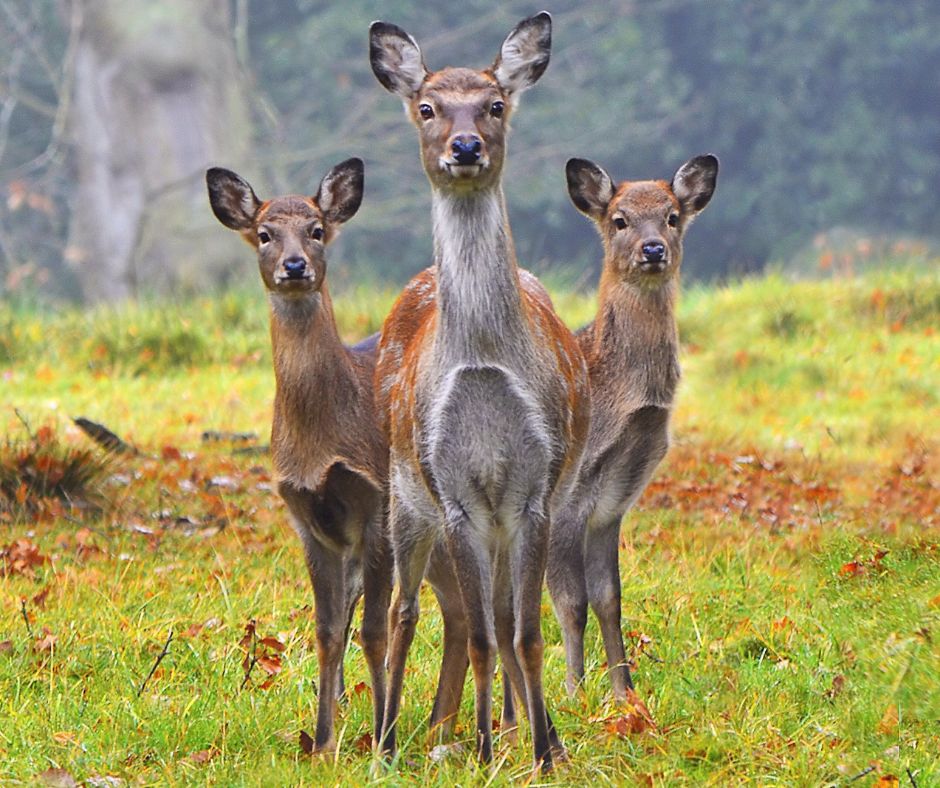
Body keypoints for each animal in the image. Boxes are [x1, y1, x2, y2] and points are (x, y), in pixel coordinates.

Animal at [205, 159, 392, 755]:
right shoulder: (307, 516)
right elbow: (328, 630)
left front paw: (384, 742)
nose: (294, 265)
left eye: (316, 230)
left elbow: (374, 631)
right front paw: (324, 740)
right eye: (264, 233)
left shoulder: (380, 500)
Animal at [369, 12, 590, 771]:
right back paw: (385, 740)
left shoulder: (535, 486)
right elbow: (485, 636)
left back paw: (522, 728)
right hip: (405, 495)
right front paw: (490, 747)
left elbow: (523, 631)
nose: (464, 146)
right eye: (427, 107)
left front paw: (545, 749)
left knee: (493, 612)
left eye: (495, 105)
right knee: (405, 613)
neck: (486, 365)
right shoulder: (455, 492)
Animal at [546, 154, 718, 701]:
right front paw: (574, 691)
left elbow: (609, 597)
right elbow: (571, 601)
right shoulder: (563, 496)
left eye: (672, 216)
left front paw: (624, 691)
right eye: (619, 220)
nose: (653, 249)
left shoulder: (612, 503)